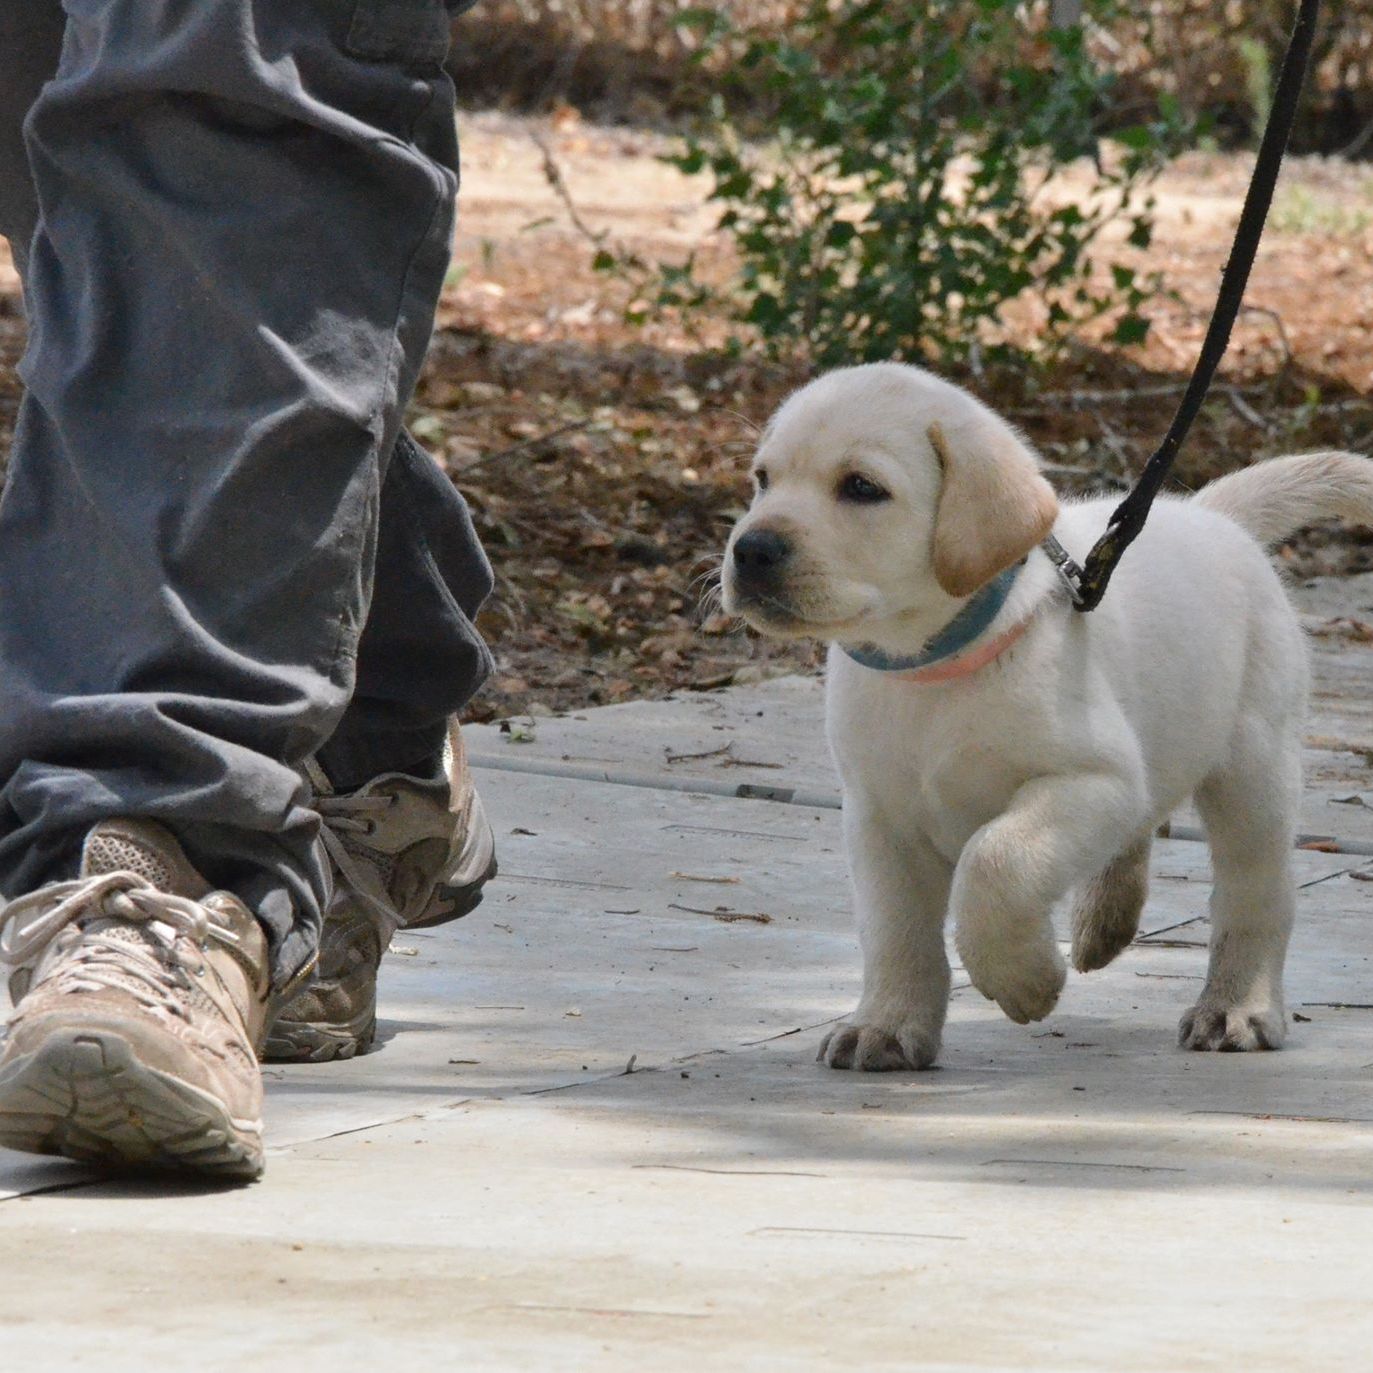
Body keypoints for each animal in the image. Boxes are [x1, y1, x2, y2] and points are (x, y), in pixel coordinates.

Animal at [719, 365, 1373, 1070]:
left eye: (862, 488)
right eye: (763, 479)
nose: (750, 549)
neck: (934, 665)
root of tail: (1211, 515)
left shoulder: (1092, 781)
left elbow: (994, 860)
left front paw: (1025, 980)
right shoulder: (878, 815)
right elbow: (895, 930)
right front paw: (886, 1026)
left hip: (1254, 767)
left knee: (1255, 895)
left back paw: (1236, 1008)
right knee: (1138, 835)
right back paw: (1105, 922)